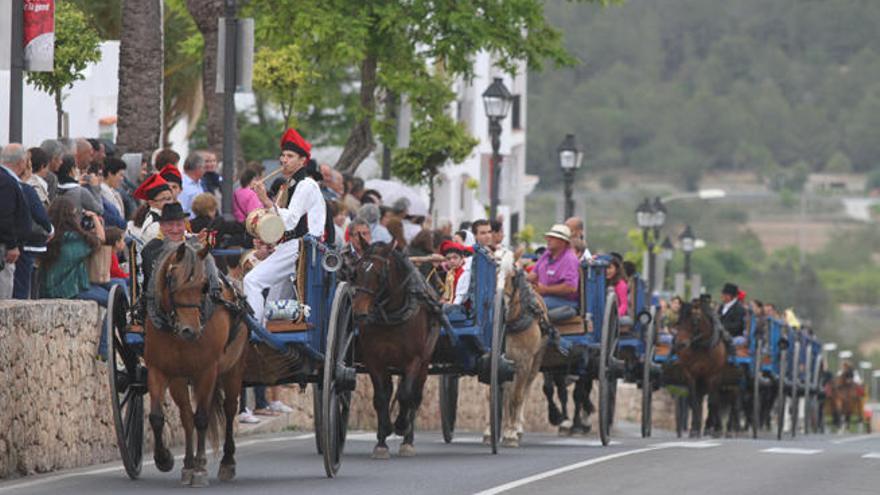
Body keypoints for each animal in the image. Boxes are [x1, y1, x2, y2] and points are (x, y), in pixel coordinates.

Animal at [144, 242, 248, 486]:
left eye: (203, 287)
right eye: (172, 280)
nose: (190, 331)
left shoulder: (207, 371)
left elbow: (202, 418)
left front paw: (200, 468)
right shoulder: (160, 370)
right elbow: (158, 417)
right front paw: (164, 459)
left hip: (233, 369)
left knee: (230, 409)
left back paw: (226, 461)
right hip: (181, 379)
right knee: (186, 416)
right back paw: (188, 464)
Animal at [350, 244, 440, 462]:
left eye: (379, 274)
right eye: (356, 272)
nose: (359, 312)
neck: (391, 315)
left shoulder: (414, 360)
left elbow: (406, 395)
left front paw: (400, 426)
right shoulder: (375, 361)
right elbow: (381, 398)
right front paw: (382, 440)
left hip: (424, 363)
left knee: (415, 396)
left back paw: (408, 439)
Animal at [672, 302, 728, 438]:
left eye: (694, 321)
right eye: (679, 321)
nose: (679, 344)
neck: (702, 346)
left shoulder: (713, 376)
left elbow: (713, 402)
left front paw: (715, 429)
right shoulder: (690, 375)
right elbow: (694, 401)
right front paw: (694, 429)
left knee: (714, 400)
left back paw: (712, 427)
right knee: (698, 399)